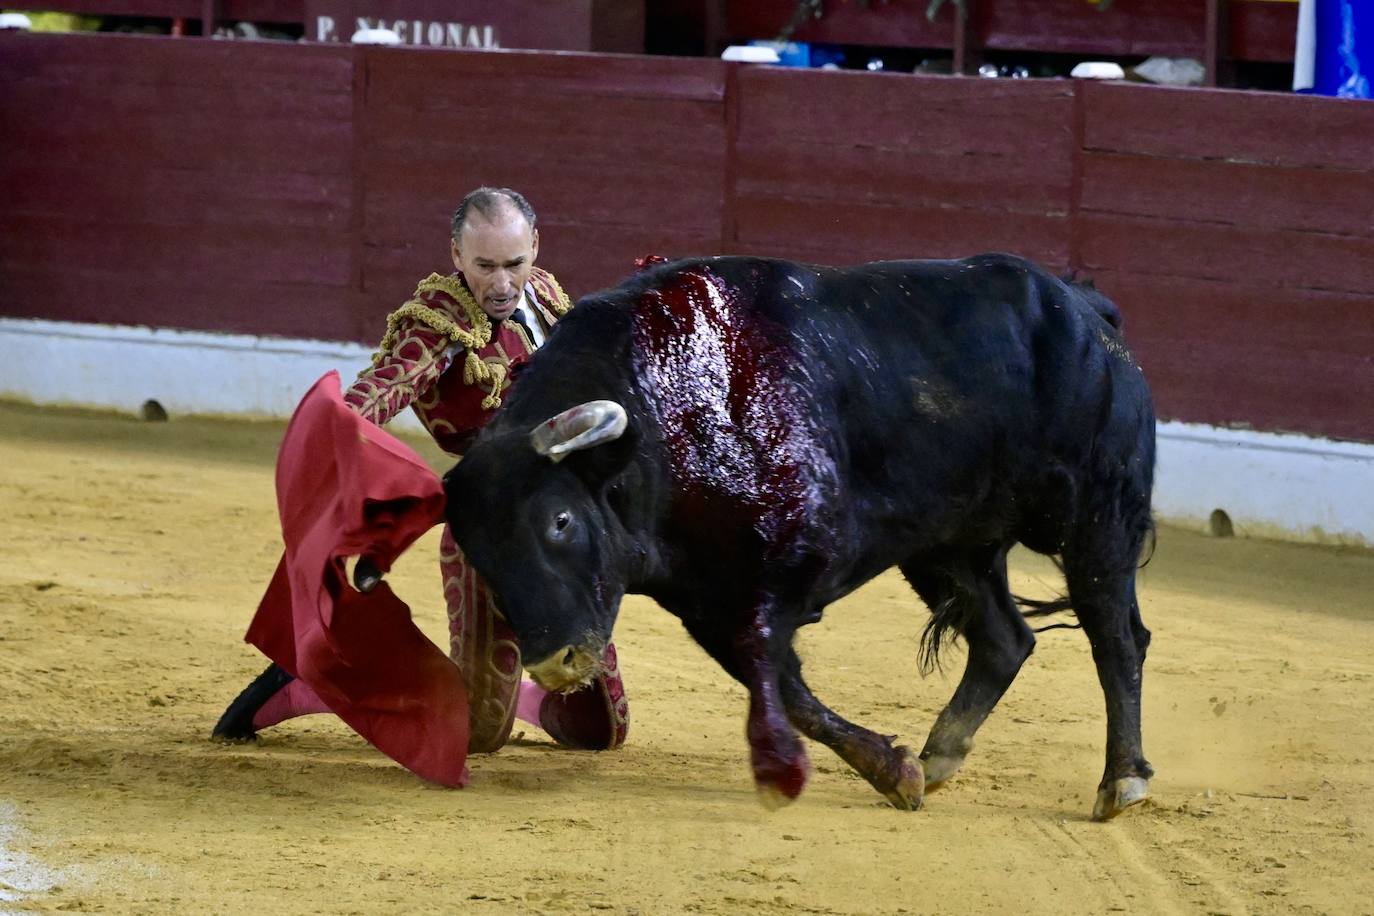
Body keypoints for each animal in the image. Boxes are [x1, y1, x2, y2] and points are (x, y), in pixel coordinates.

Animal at [445, 254, 1154, 818]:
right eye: (480, 555)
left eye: (559, 521)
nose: (551, 664)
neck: (665, 417)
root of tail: (1085, 310)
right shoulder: (703, 601)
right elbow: (787, 687)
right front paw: (893, 771)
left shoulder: (790, 563)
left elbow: (769, 663)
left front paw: (783, 769)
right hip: (950, 545)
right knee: (1005, 639)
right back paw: (939, 756)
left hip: (1100, 515)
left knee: (1116, 637)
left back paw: (1122, 781)